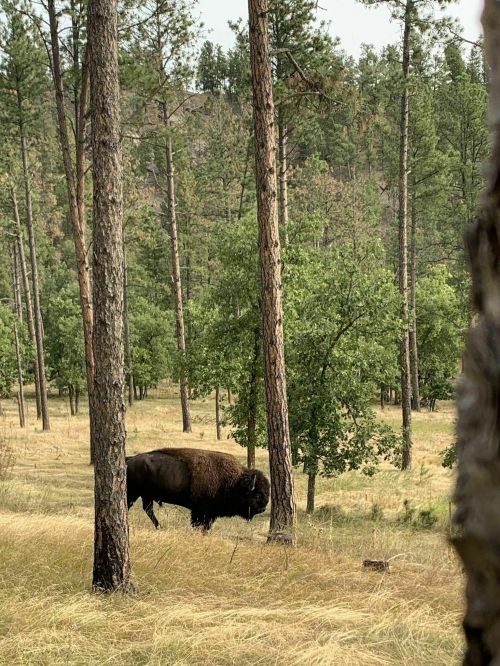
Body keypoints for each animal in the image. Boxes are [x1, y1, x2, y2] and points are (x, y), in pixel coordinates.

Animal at [126, 447, 270, 531]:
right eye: (257, 495)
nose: (263, 508)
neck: (234, 482)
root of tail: (129, 460)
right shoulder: (201, 511)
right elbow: (198, 524)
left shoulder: (210, 513)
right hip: (133, 493)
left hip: (145, 495)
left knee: (148, 509)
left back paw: (159, 527)